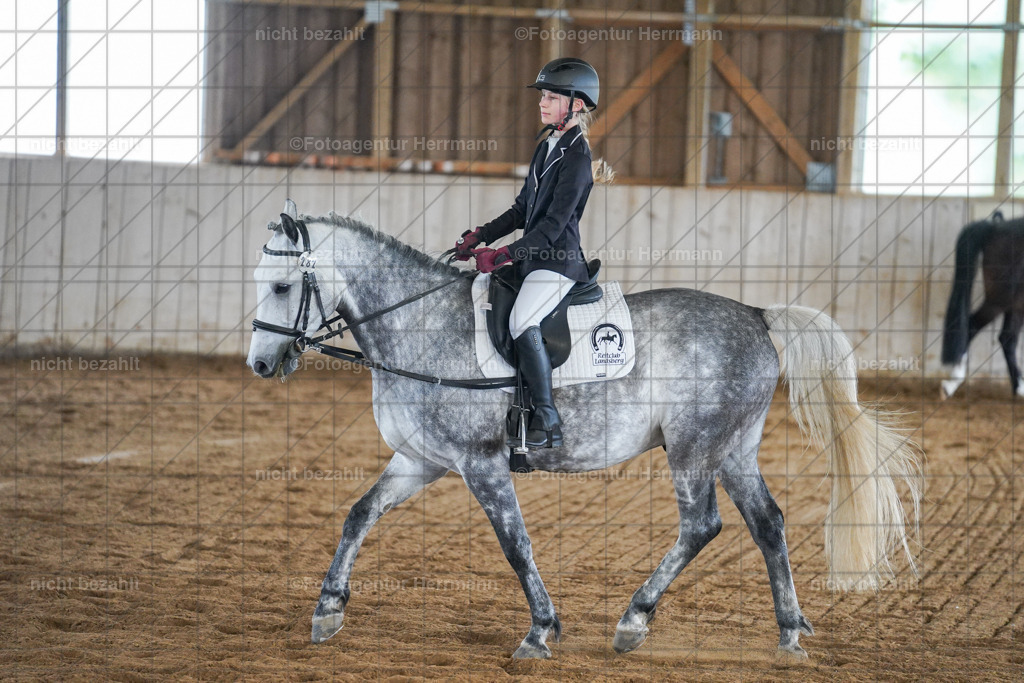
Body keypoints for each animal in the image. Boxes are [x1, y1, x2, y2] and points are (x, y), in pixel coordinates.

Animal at [246, 200, 920, 659]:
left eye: (282, 286)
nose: (260, 365)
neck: (420, 323)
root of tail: (757, 315)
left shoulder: (481, 464)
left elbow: (516, 546)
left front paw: (540, 632)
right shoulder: (423, 460)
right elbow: (359, 513)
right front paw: (328, 610)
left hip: (694, 448)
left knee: (702, 526)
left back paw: (634, 620)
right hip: (733, 449)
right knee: (768, 523)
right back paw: (788, 632)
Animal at [940, 211, 1024, 399]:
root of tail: (995, 228)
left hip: (1016, 303)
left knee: (1007, 338)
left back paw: (1019, 388)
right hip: (999, 301)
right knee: (972, 326)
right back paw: (951, 384)